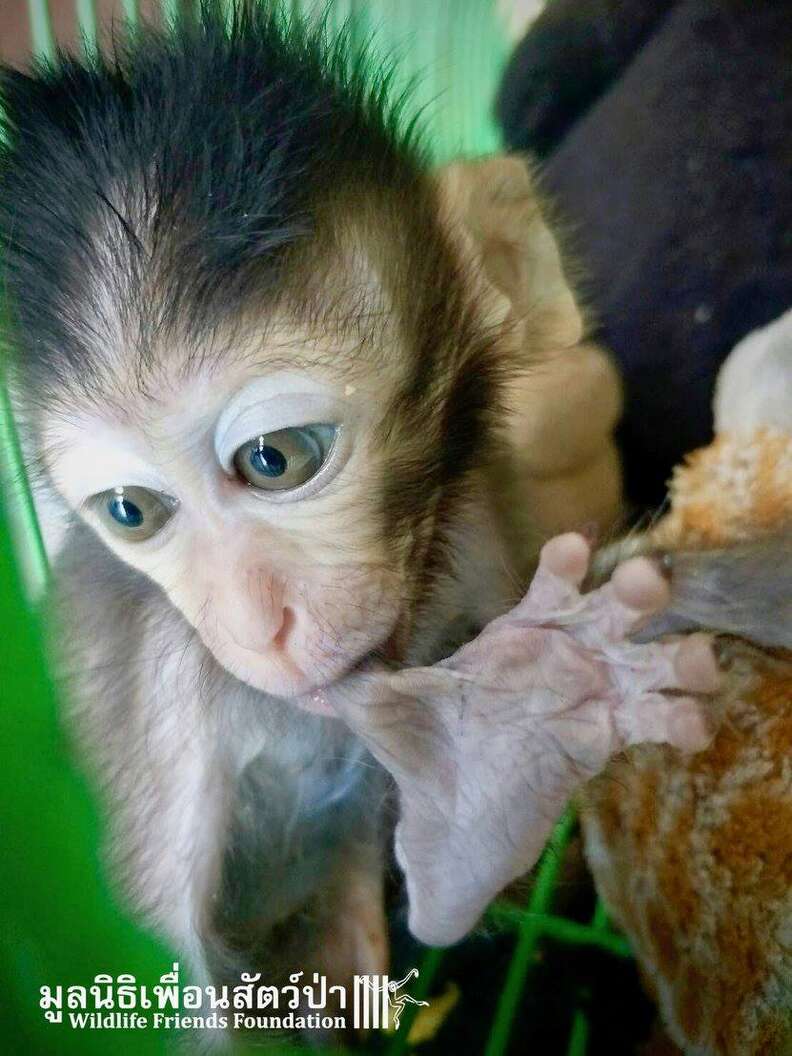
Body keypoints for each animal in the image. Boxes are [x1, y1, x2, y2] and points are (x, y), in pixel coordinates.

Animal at [0, 0, 718, 1022]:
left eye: (274, 459)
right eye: (132, 511)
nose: (254, 625)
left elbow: (451, 898)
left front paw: (514, 742)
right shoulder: (169, 691)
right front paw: (533, 717)